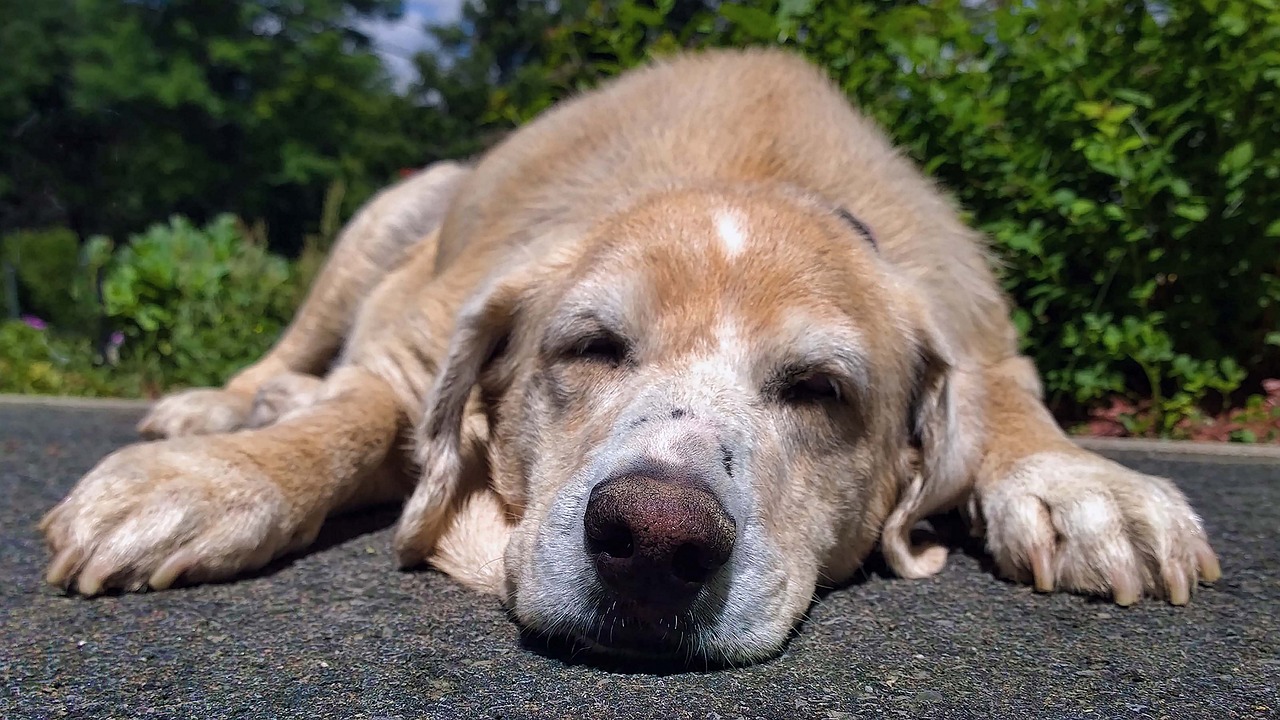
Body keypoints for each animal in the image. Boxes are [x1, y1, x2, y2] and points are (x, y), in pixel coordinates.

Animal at [40, 50, 1218, 666]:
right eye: (591, 346)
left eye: (817, 390)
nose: (654, 539)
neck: (751, 170)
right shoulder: (413, 349)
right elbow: (350, 416)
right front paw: (207, 484)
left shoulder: (977, 330)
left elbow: (1011, 402)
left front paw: (1085, 486)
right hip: (390, 215)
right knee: (297, 354)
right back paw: (223, 405)